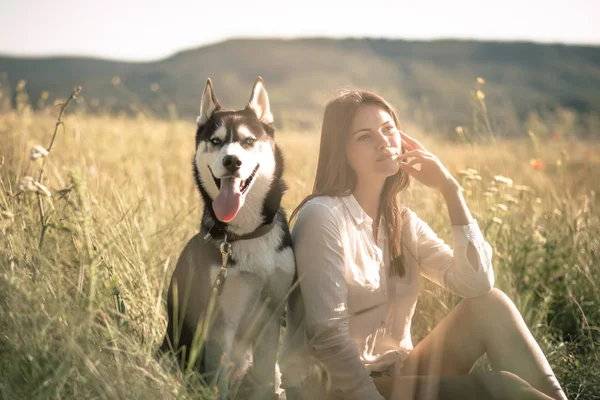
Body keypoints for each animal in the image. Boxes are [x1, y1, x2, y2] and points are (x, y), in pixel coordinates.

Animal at [161, 76, 296, 398]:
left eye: (248, 141)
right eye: (216, 141)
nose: (232, 161)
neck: (247, 235)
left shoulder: (271, 314)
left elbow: (265, 380)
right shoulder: (221, 319)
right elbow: (217, 379)